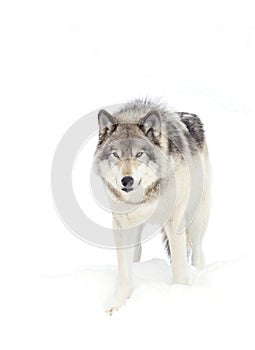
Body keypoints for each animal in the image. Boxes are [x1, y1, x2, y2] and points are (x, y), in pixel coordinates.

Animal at [93, 98, 209, 314]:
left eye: (139, 154)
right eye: (115, 155)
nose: (127, 180)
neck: (144, 196)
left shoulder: (174, 222)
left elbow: (179, 266)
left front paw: (179, 294)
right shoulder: (121, 225)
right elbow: (124, 271)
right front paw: (118, 304)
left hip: (197, 218)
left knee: (197, 253)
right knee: (136, 253)